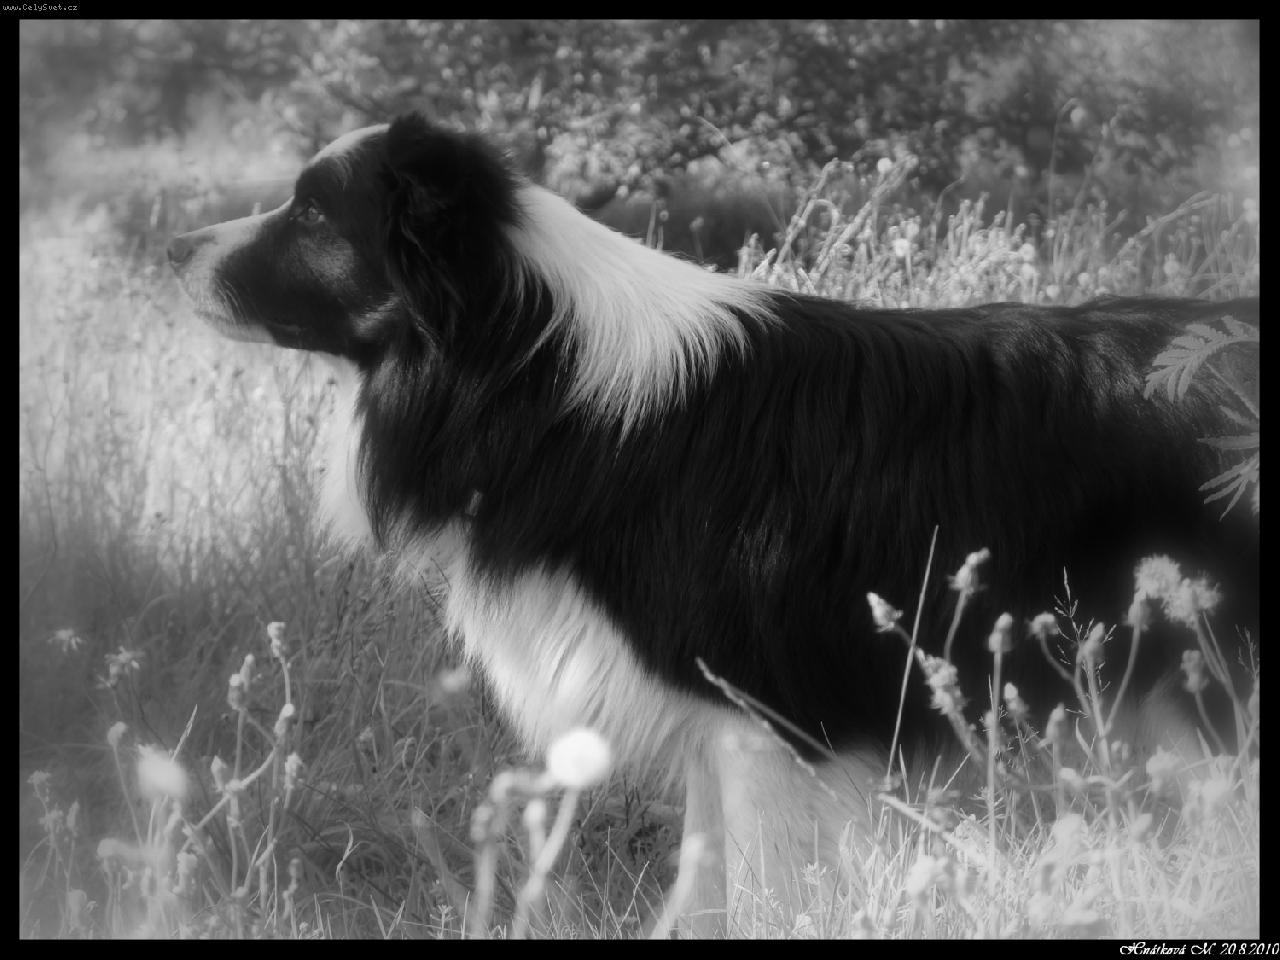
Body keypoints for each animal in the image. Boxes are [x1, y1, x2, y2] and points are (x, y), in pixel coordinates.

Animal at [169, 113, 1258, 935]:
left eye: (313, 209)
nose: (169, 245)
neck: (538, 369)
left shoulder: (763, 726)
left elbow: (759, 902)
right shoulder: (714, 731)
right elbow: (699, 901)